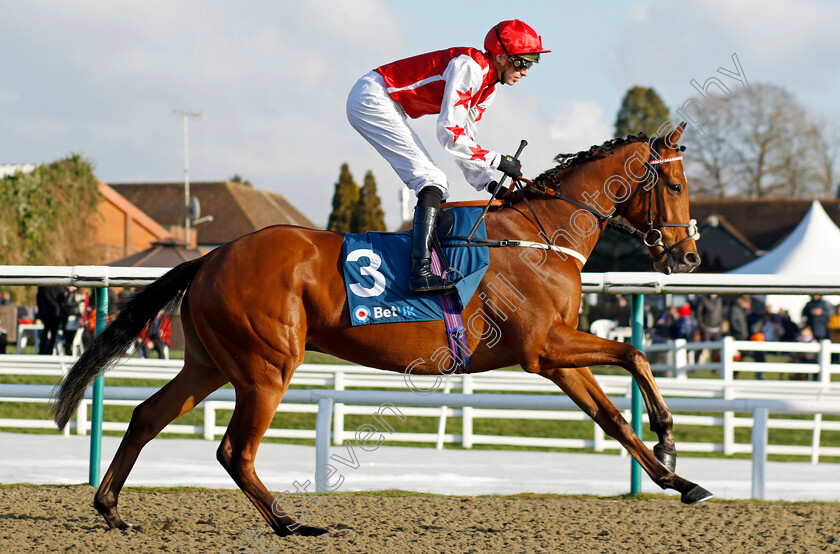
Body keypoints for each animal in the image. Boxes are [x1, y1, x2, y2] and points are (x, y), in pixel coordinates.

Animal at [50, 122, 708, 536]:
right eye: (675, 185)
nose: (687, 257)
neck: (540, 235)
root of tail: (211, 256)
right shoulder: (544, 348)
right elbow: (633, 353)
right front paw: (669, 439)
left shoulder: (553, 358)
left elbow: (613, 415)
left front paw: (677, 478)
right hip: (267, 367)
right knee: (234, 450)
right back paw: (290, 522)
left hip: (209, 363)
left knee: (147, 416)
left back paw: (111, 508)